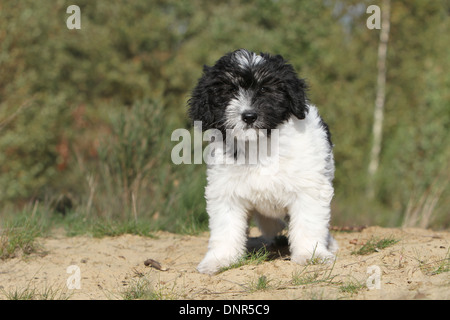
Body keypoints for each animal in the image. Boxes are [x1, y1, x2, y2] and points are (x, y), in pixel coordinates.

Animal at [187, 48, 338, 274]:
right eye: (229, 91)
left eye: (266, 89)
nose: (249, 116)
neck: (259, 145)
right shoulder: (226, 191)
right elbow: (226, 227)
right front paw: (221, 258)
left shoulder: (309, 187)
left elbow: (309, 221)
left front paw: (312, 254)